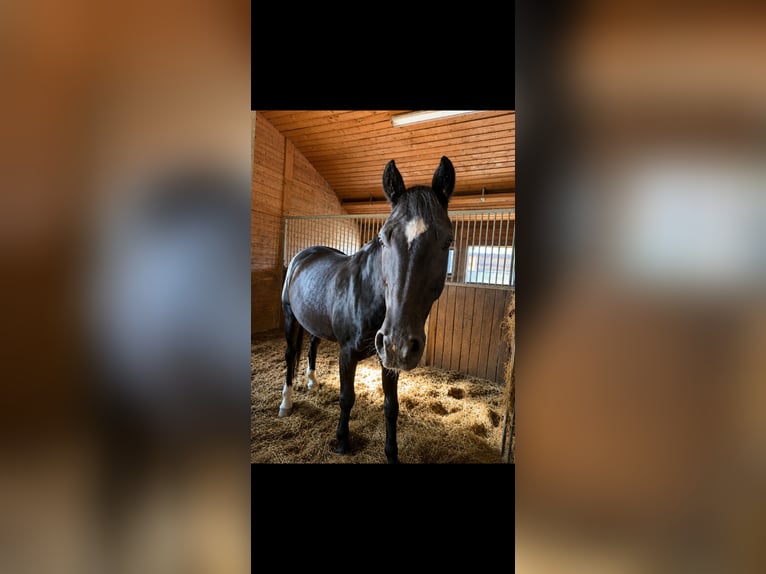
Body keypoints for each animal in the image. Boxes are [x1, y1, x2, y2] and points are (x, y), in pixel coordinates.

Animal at [278, 156, 455, 463]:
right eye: (383, 238)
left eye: (447, 241)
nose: (398, 343)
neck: (367, 294)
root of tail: (302, 255)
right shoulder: (347, 353)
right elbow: (346, 397)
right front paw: (341, 442)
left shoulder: (388, 360)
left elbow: (391, 406)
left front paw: (392, 454)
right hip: (290, 317)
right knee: (290, 355)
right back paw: (286, 403)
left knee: (312, 345)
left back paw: (312, 381)